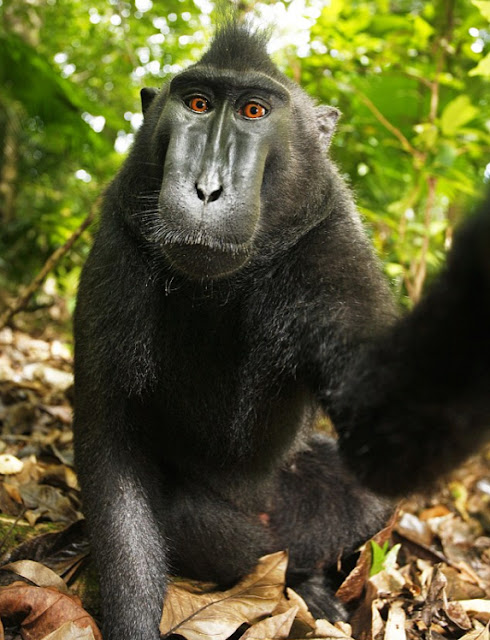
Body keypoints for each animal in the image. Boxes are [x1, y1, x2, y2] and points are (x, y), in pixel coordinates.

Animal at [72, 22, 490, 636]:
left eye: (253, 110)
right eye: (197, 104)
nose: (207, 189)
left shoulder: (332, 244)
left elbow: (386, 436)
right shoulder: (118, 245)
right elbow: (111, 451)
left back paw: (312, 585)